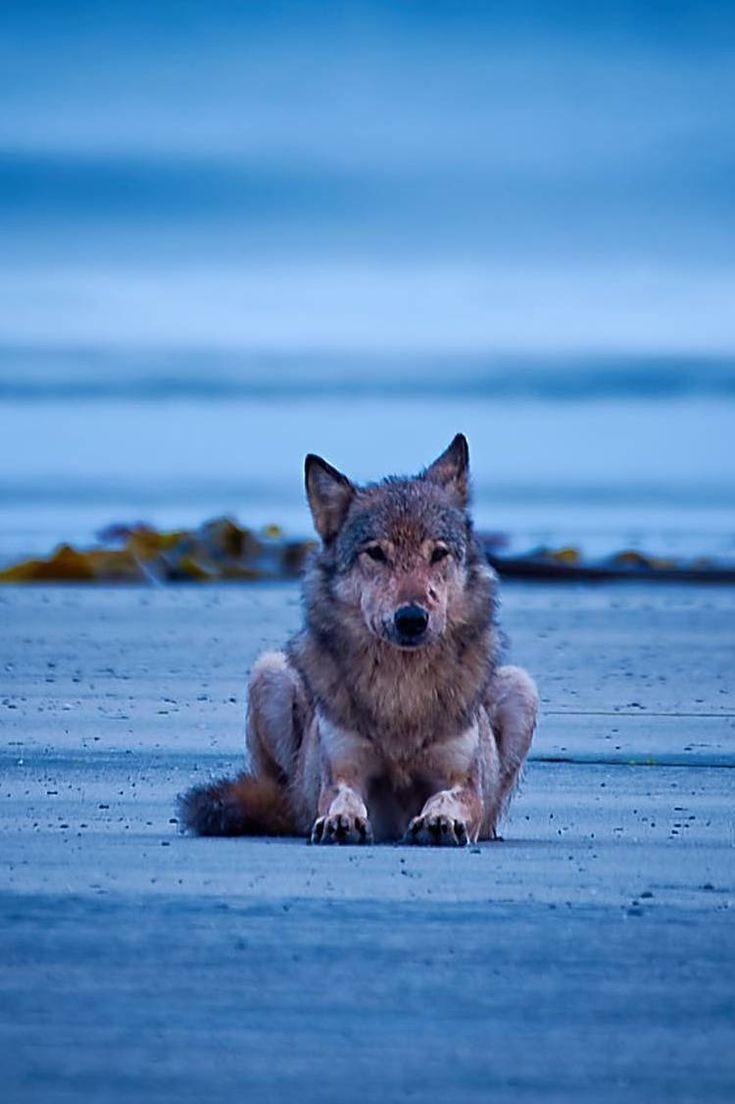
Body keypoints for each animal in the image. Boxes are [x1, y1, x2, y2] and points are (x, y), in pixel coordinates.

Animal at [179, 434, 538, 846]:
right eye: (376, 553)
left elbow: (450, 798)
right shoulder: (342, 771)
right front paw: (341, 820)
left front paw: (440, 820)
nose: (411, 619)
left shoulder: (463, 781)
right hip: (269, 674)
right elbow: (342, 797)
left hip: (521, 686)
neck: (402, 692)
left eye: (438, 553)